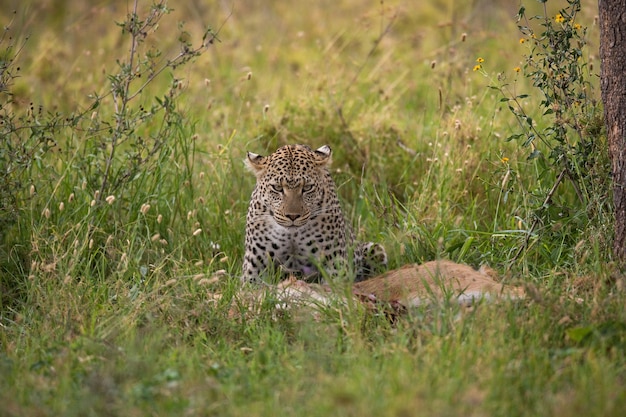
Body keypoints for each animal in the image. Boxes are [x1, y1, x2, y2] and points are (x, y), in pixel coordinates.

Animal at [240, 143, 382, 282]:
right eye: (277, 188)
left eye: (307, 188)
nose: (293, 216)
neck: (292, 236)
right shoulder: (254, 268)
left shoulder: (336, 265)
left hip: (375, 249)